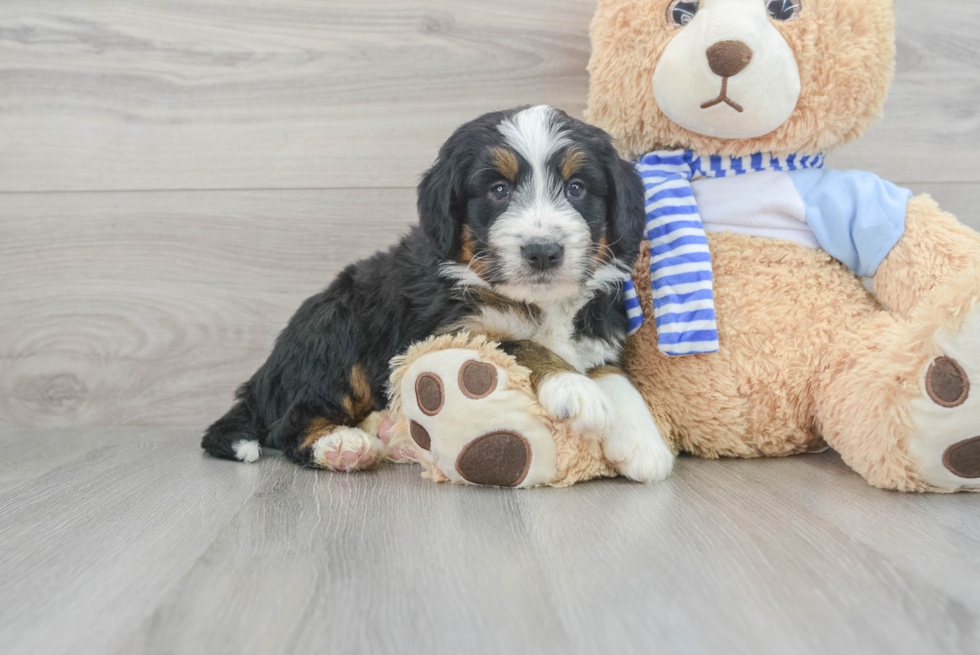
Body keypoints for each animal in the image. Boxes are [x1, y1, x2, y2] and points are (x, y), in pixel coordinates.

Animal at [199, 107, 672, 484]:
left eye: (576, 188)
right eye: (498, 190)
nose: (543, 251)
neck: (537, 301)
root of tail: (261, 379)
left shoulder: (596, 333)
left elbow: (614, 374)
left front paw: (644, 443)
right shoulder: (448, 331)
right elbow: (520, 344)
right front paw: (574, 387)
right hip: (337, 327)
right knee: (289, 422)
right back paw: (343, 446)